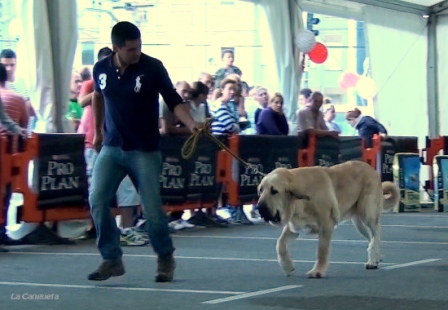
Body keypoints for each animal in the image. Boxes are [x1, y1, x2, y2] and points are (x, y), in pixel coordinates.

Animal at [256, 160, 400, 278]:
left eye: (274, 191)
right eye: (260, 190)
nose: (259, 208)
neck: (300, 200)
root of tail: (372, 169)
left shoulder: (325, 226)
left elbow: (322, 251)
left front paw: (317, 271)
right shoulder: (294, 228)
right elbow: (280, 244)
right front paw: (288, 266)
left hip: (367, 213)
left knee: (376, 234)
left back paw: (372, 260)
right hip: (359, 223)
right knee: (371, 238)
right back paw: (375, 258)